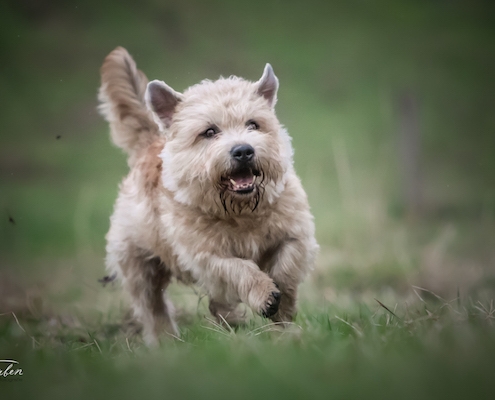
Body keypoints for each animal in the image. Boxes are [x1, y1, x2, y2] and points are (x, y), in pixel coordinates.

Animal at [99, 48, 320, 346]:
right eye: (210, 132)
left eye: (253, 124)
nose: (243, 151)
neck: (241, 212)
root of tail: (150, 143)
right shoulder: (206, 257)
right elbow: (240, 269)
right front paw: (264, 295)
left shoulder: (295, 233)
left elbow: (286, 264)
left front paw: (282, 305)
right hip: (137, 263)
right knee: (152, 306)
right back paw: (167, 342)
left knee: (215, 304)